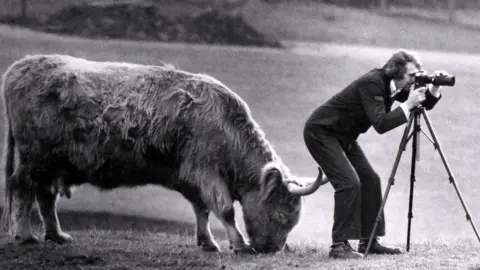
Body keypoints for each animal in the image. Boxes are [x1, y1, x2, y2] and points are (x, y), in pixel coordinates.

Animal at [0, 54, 326, 253]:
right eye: (282, 214)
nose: (271, 249)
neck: (226, 128)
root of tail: (19, 66)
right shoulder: (206, 171)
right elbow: (225, 209)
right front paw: (239, 243)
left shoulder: (192, 177)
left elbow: (201, 209)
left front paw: (207, 242)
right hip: (34, 157)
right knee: (22, 186)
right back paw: (24, 235)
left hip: (52, 163)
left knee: (45, 196)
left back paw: (57, 235)